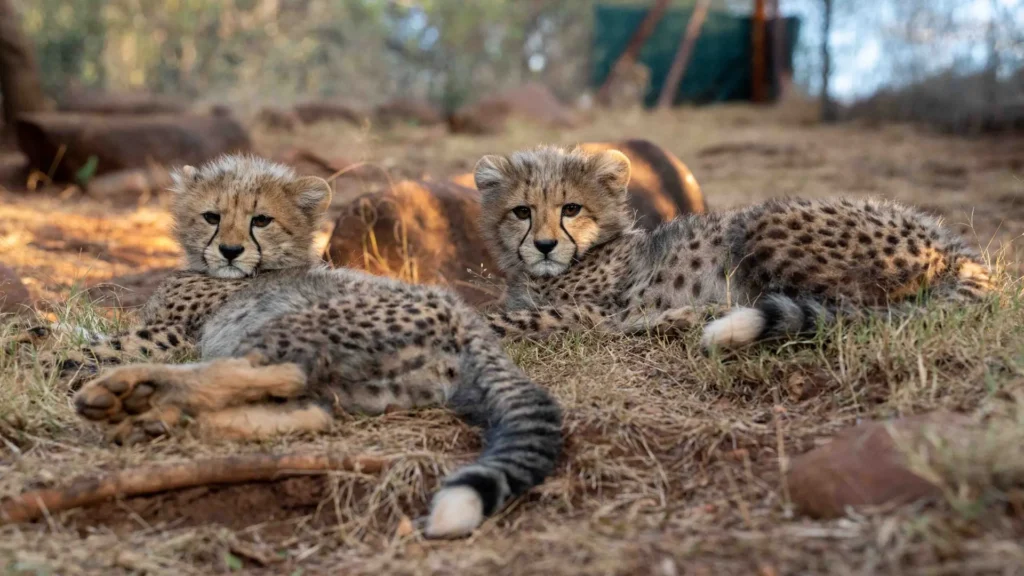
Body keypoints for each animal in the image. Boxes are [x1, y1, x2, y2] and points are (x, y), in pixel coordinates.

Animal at [37, 154, 563, 539]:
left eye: (261, 220)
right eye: (211, 217)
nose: (230, 251)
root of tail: (469, 320)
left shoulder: (172, 335)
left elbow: (94, 347)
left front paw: (49, 357)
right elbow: (74, 332)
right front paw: (44, 331)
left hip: (296, 323)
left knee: (264, 372)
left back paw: (130, 398)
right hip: (365, 384)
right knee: (310, 410)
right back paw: (154, 420)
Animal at [474, 145, 994, 347]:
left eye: (571, 209)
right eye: (521, 212)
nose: (544, 246)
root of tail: (955, 248)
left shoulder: (591, 312)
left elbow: (507, 319)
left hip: (766, 223)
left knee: (856, 310)